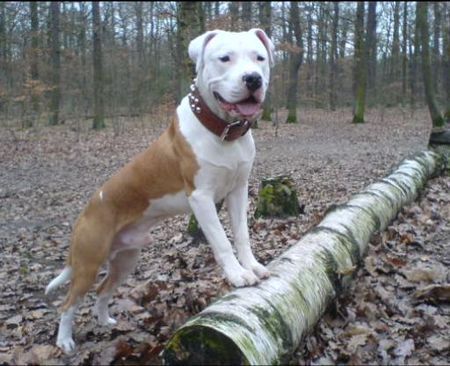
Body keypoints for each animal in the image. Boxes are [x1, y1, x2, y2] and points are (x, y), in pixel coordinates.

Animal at [45, 29, 274, 354]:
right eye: (225, 58)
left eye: (259, 58)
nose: (253, 79)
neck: (224, 132)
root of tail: (87, 209)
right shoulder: (201, 198)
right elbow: (222, 242)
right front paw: (237, 274)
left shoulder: (239, 190)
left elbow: (242, 235)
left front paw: (253, 266)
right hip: (89, 261)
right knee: (69, 303)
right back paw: (65, 341)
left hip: (125, 260)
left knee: (103, 290)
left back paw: (105, 322)